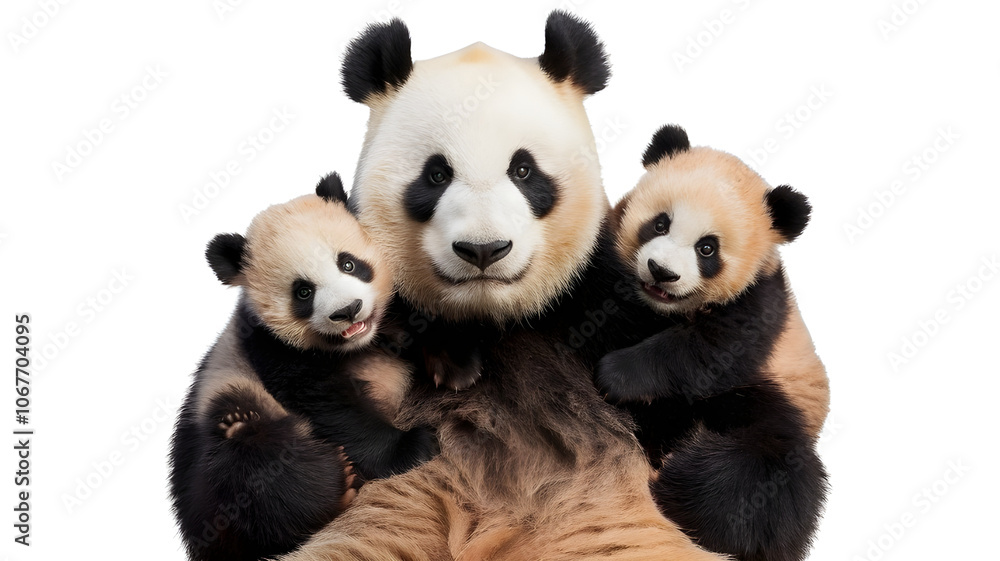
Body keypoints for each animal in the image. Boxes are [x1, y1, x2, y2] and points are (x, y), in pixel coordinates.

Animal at [169, 174, 436, 561]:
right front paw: (412, 447)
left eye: (348, 264)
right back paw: (335, 484)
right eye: (303, 292)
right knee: (250, 467)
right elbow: (328, 403)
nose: (348, 310)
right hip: (226, 419)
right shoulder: (271, 348)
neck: (355, 345)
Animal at [278, 12, 730, 561]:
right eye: (436, 175)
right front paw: (451, 363)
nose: (483, 250)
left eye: (523, 170)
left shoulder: (607, 299)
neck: (494, 318)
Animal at [594, 125, 829, 561]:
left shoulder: (759, 305)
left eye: (707, 248)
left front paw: (615, 375)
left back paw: (681, 480)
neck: (666, 307)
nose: (661, 272)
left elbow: (707, 352)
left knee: (756, 477)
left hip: (768, 403)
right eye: (660, 224)